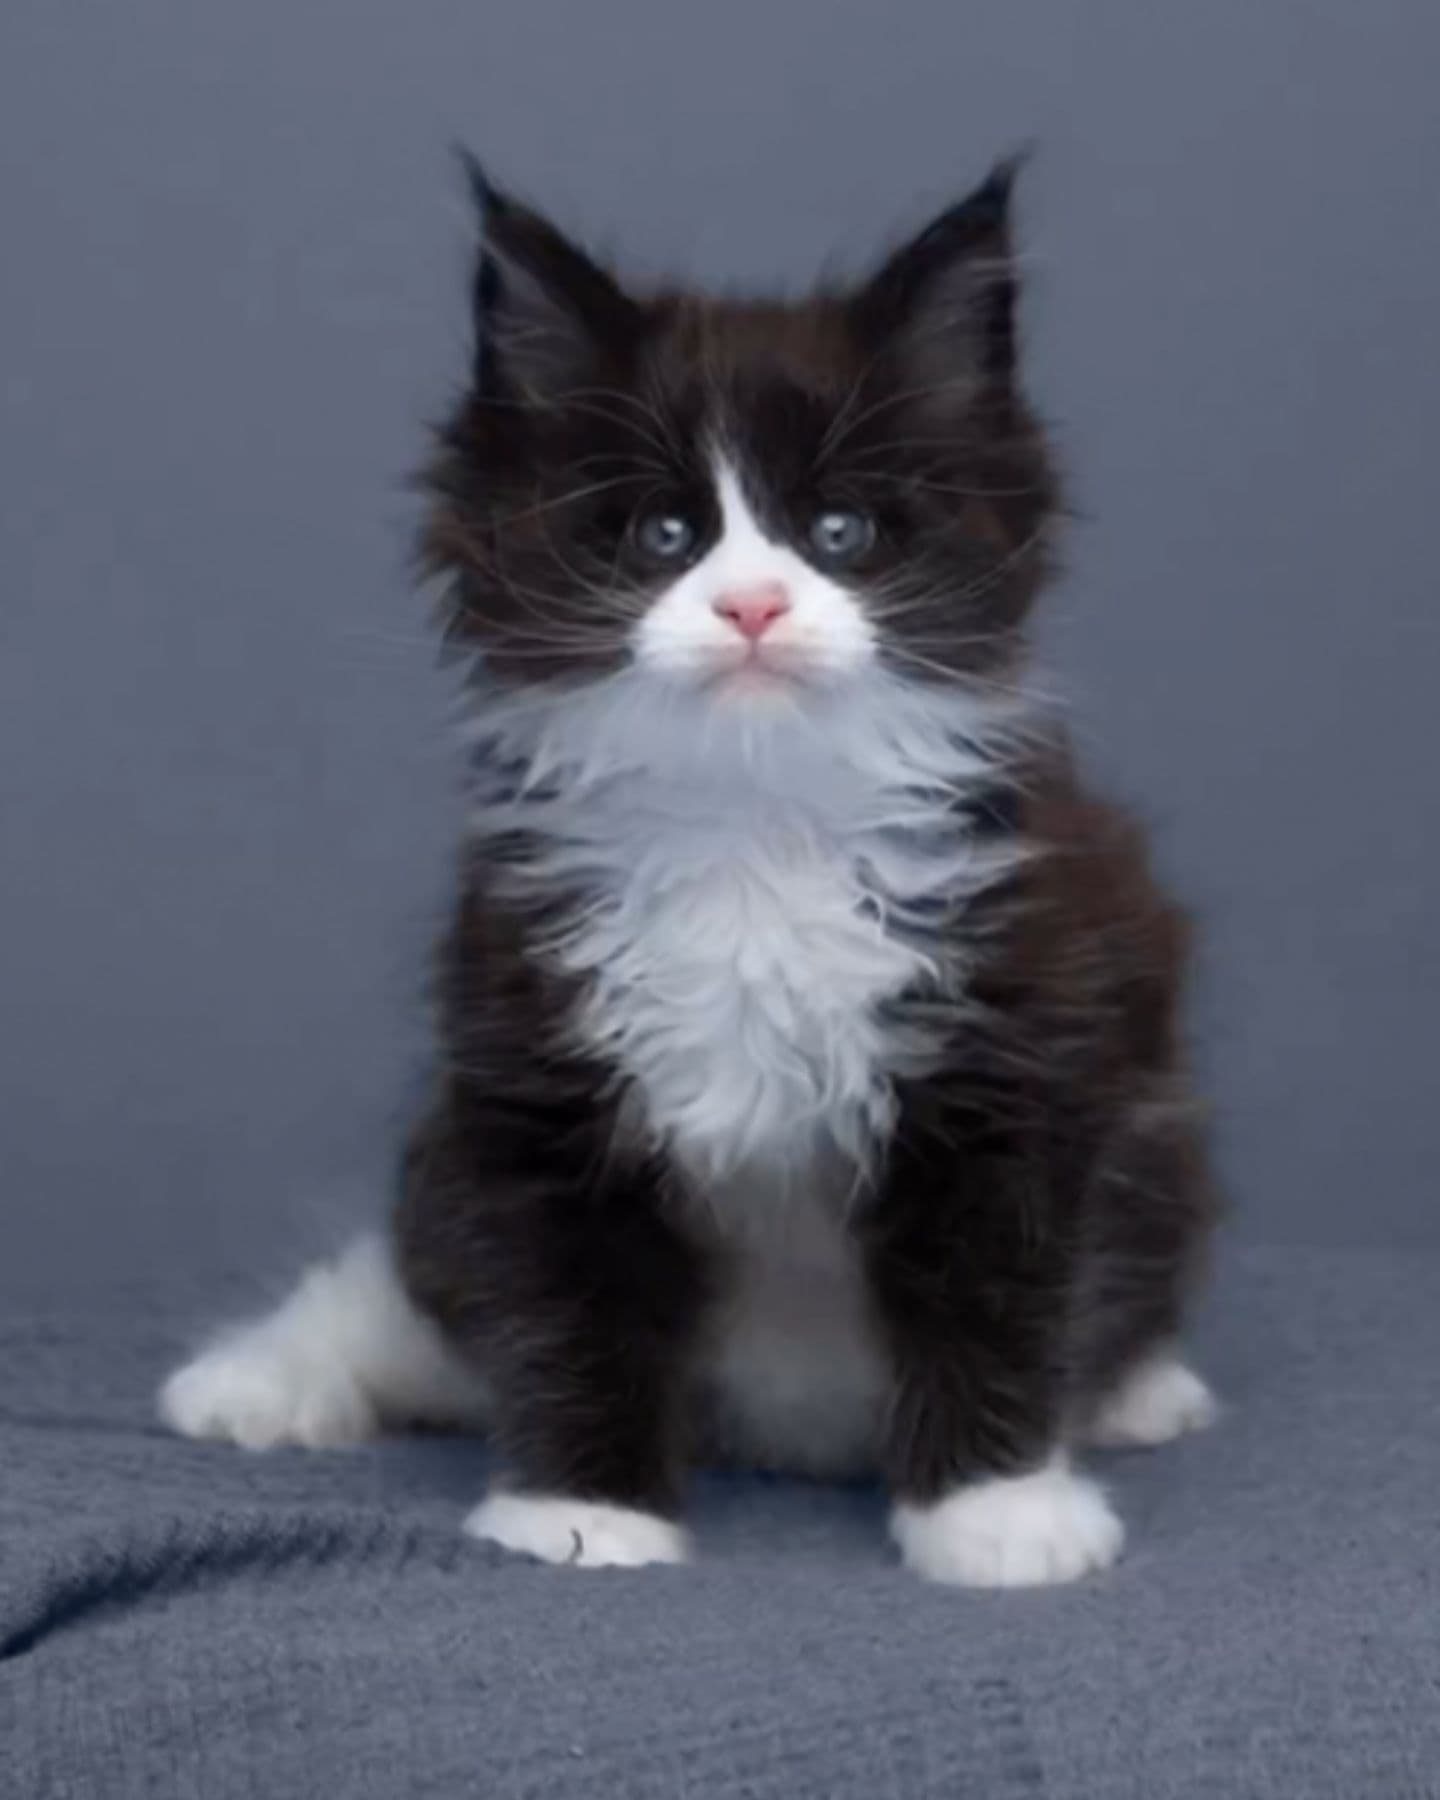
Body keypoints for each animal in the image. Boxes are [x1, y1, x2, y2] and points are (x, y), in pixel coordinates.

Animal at [157, 162, 1224, 1584]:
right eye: (665, 534)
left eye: (839, 531)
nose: (753, 606)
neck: (753, 833)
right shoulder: (535, 1068)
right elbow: (563, 1299)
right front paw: (583, 1517)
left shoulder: (1015, 1053)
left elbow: (996, 1291)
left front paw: (996, 1511)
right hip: (448, 1165)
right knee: (426, 1297)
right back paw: (262, 1377)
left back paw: (1138, 1390)